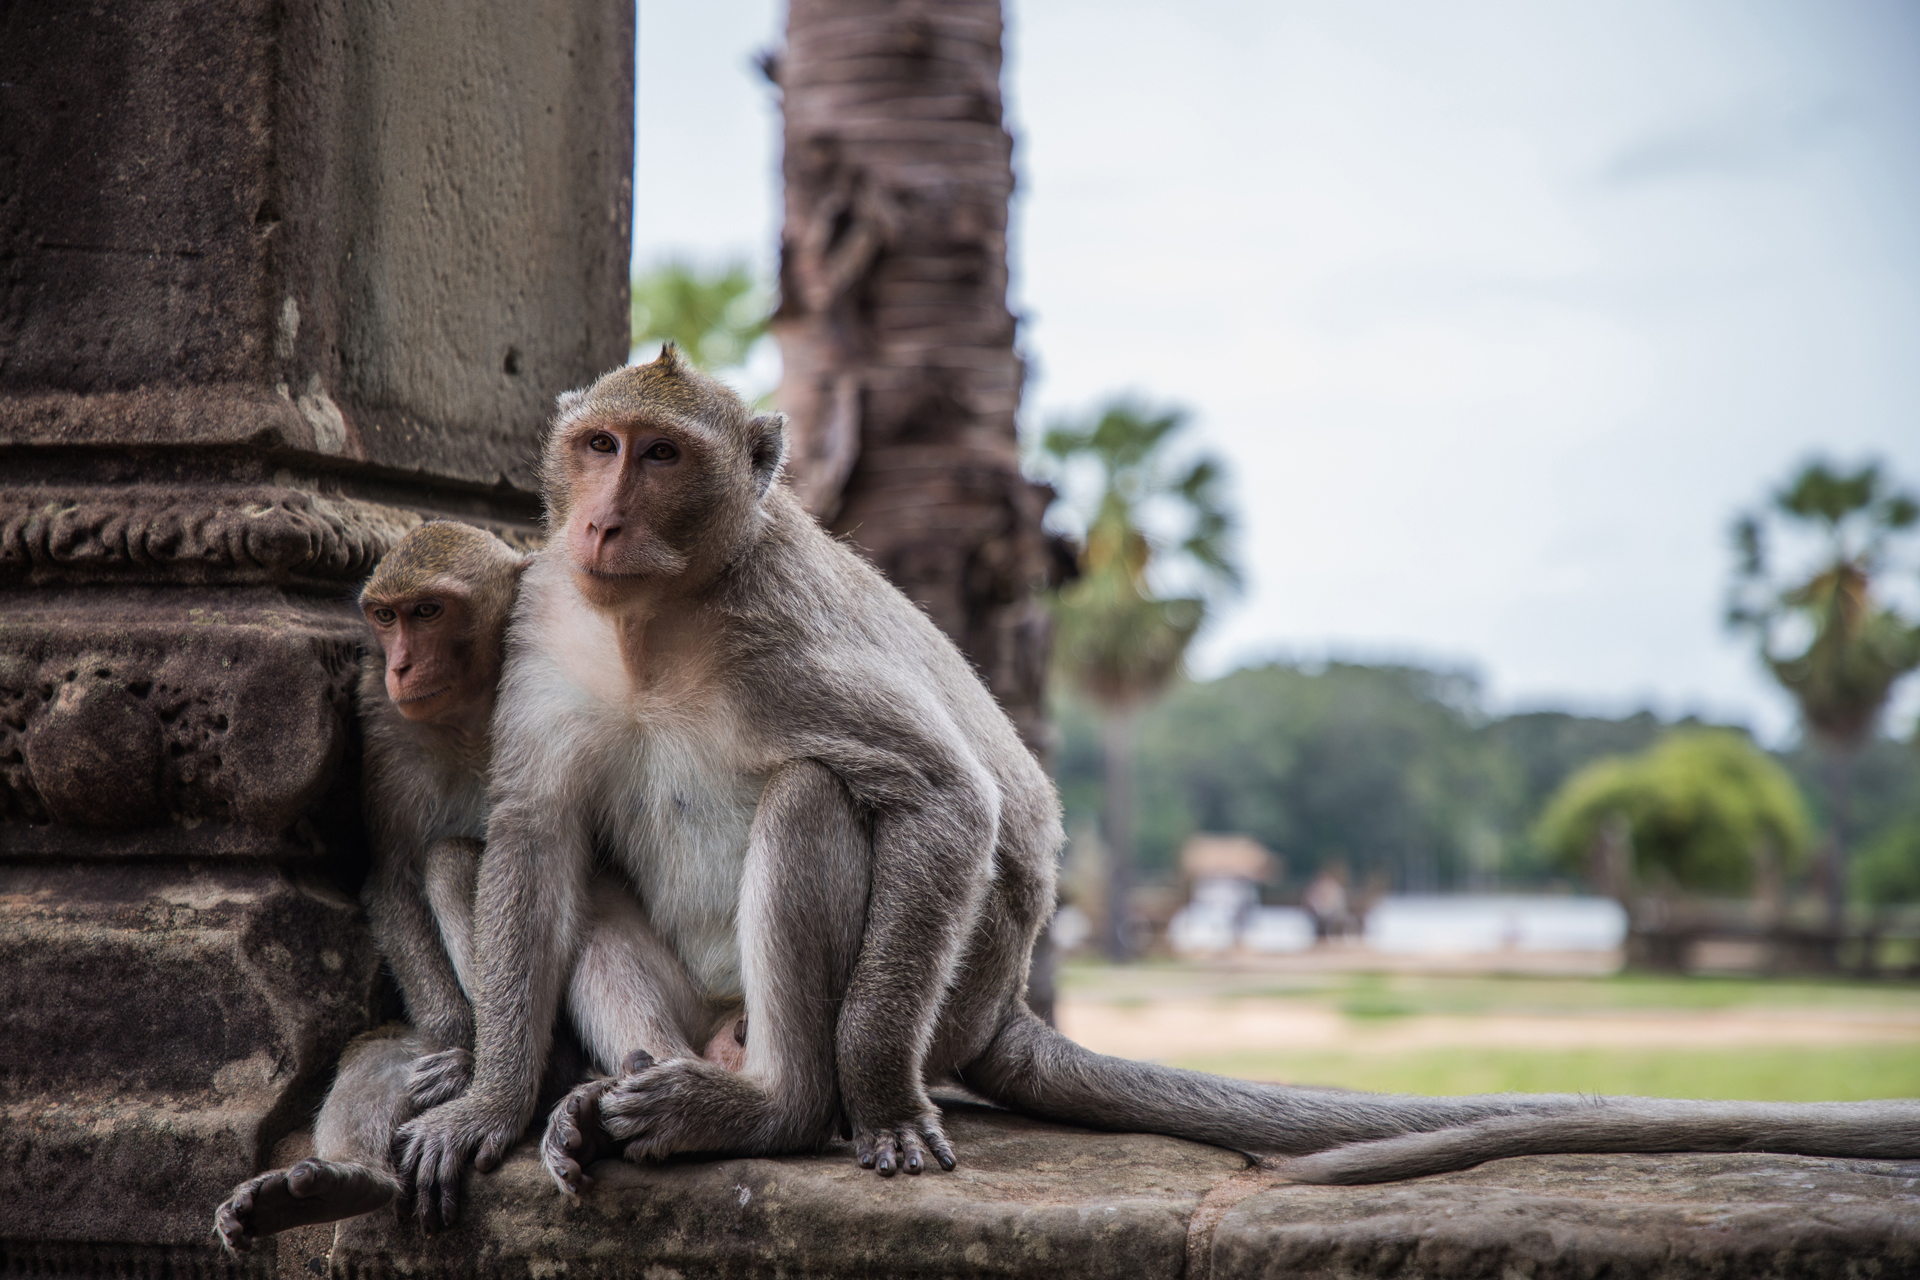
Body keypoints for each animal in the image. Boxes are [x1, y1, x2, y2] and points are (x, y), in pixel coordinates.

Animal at [214, 523, 750, 1249]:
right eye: (386, 617)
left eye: (428, 612)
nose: (401, 665)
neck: (476, 708)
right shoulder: (381, 712)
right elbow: (393, 878)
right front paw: (456, 1042)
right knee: (386, 1043)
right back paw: (348, 1178)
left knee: (453, 863)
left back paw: (551, 1079)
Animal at [391, 347, 1918, 1212]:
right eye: (597, 446)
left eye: (662, 455)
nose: (602, 517)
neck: (655, 618)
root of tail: (1005, 1007)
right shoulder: (550, 621)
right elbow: (531, 829)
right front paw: (488, 1109)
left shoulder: (777, 634)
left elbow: (948, 798)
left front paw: (875, 1105)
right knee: (507, 860)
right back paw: (623, 1095)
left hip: (927, 997)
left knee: (819, 797)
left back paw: (775, 1105)